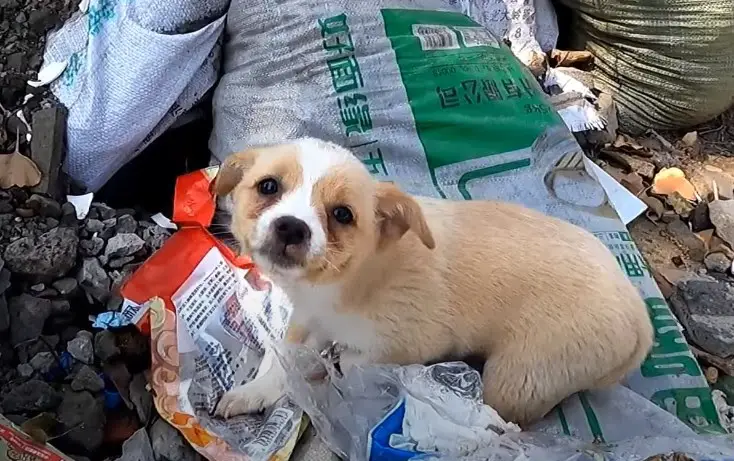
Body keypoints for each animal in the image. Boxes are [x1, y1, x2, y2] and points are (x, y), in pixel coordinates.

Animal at [214, 137, 656, 424]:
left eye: (342, 214)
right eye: (268, 186)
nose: (291, 227)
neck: (340, 285)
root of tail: (641, 316)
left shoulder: (408, 345)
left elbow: (349, 363)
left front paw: (330, 371)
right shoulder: (305, 319)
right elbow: (281, 362)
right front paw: (253, 392)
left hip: (517, 380)